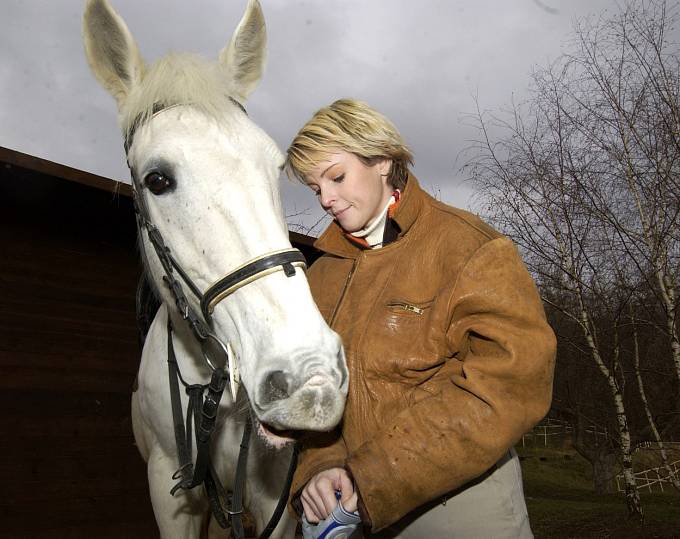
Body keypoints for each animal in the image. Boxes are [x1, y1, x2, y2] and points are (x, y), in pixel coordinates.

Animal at [84, 2, 348, 536]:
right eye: (157, 179)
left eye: (276, 166)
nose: (310, 375)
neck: (215, 397)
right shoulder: (171, 494)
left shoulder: (274, 501)